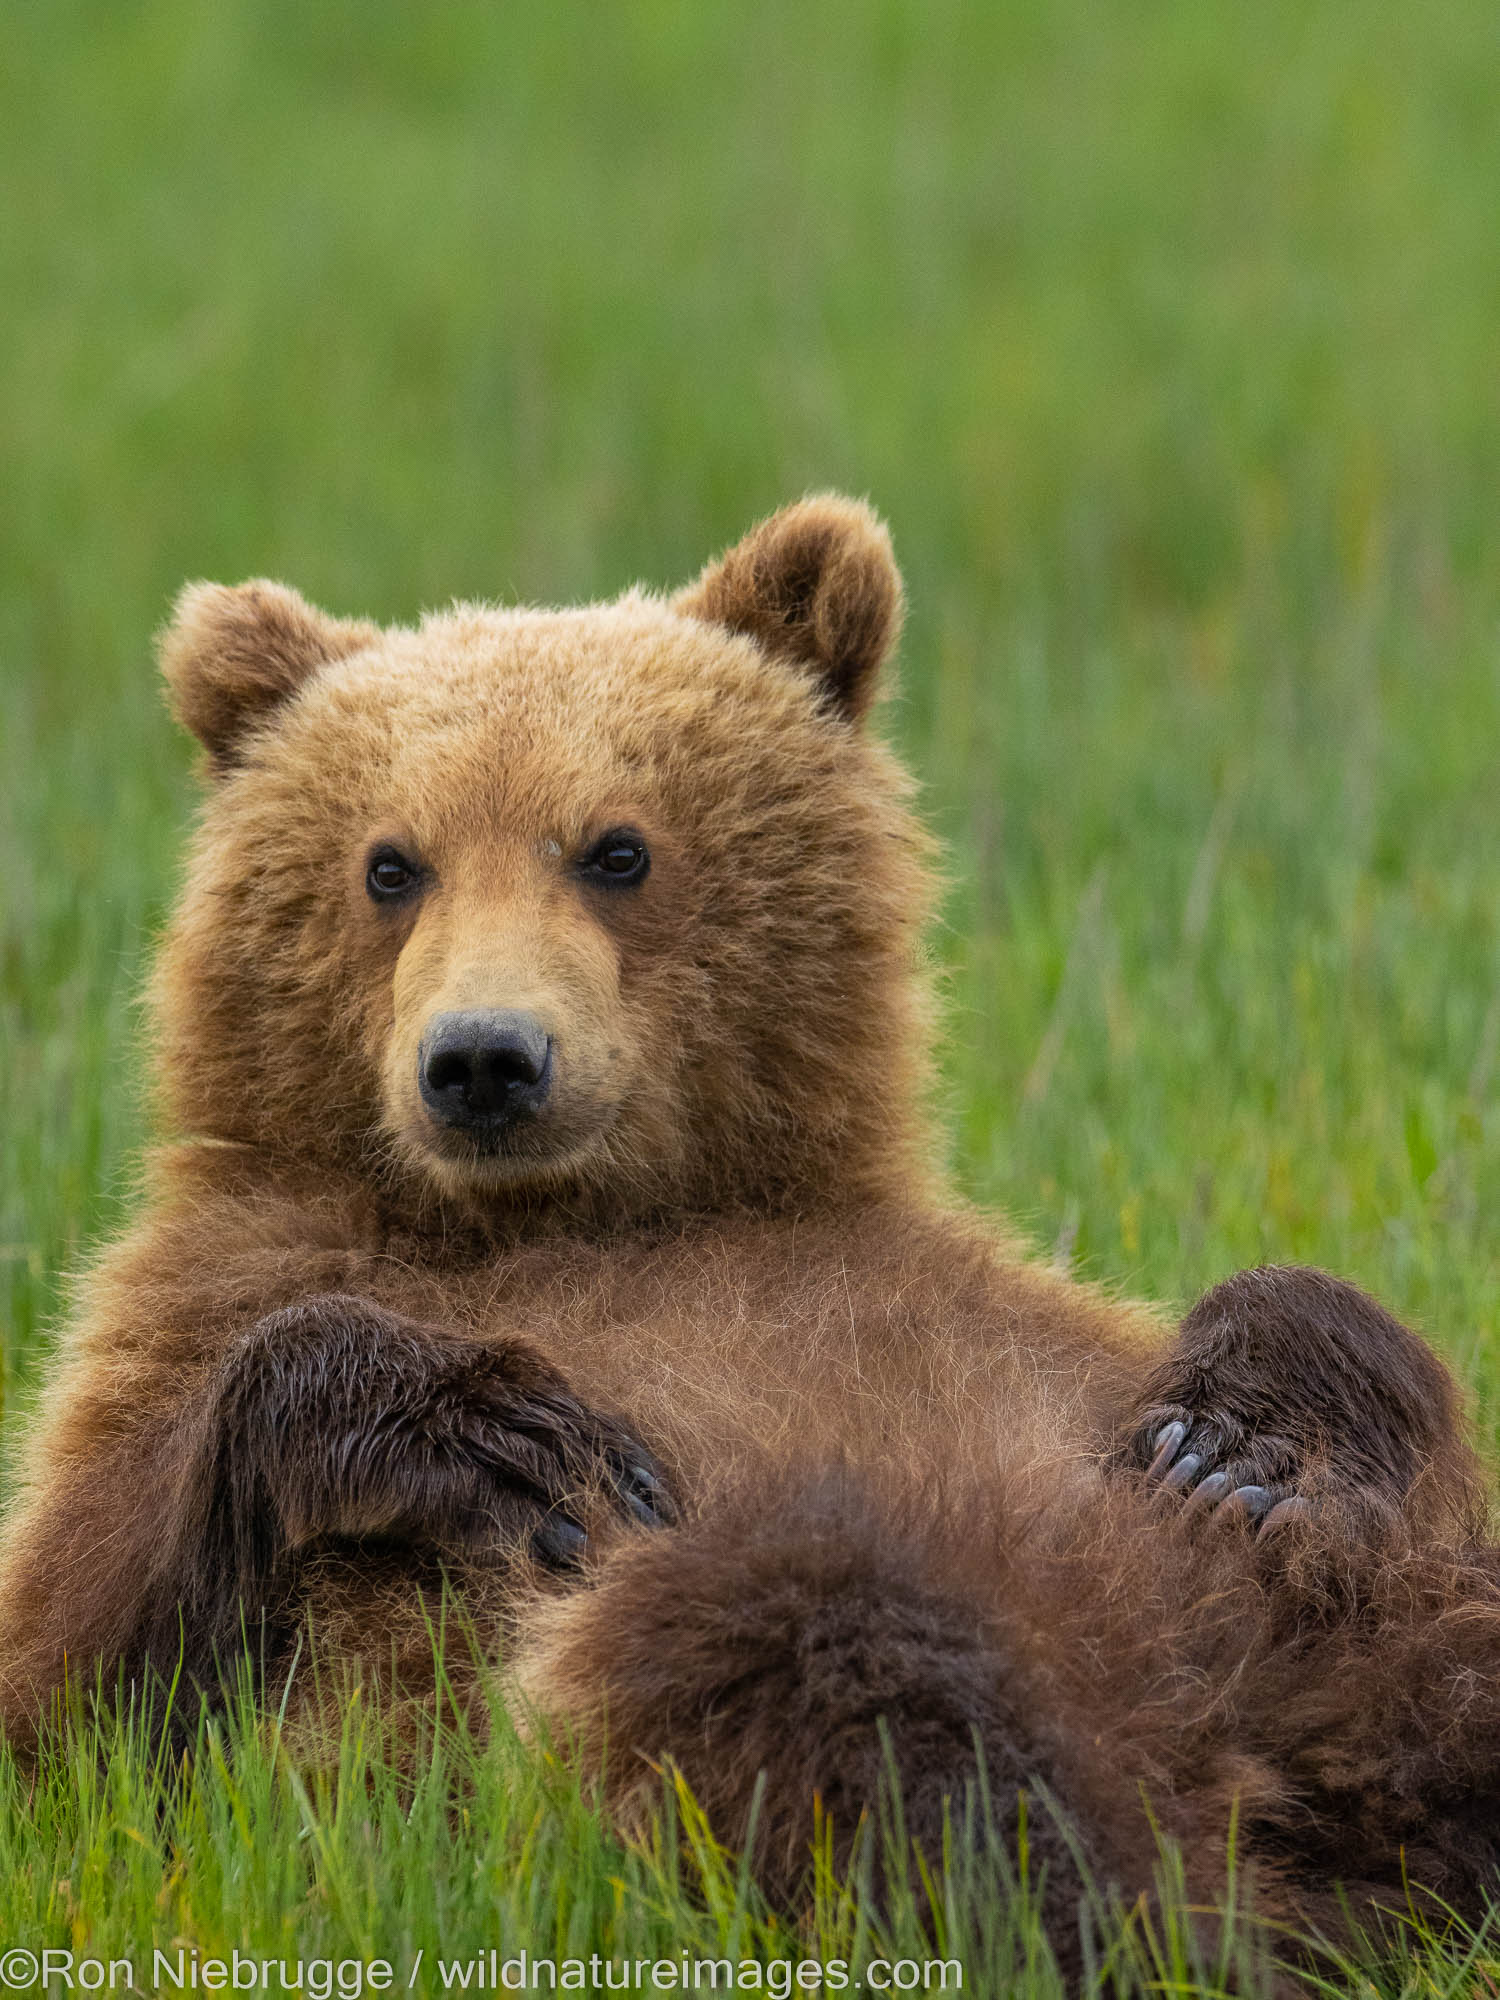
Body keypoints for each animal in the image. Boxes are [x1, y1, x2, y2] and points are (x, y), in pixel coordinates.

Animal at [2, 500, 1500, 1968]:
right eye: (389, 864)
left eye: (616, 847)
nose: (485, 1059)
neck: (583, 1212)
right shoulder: (193, 1308)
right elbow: (76, 1664)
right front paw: (506, 1434)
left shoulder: (957, 1285)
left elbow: (1288, 1343)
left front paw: (1238, 1429)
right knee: (841, 1650)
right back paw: (1149, 1915)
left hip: (1378, 1612)